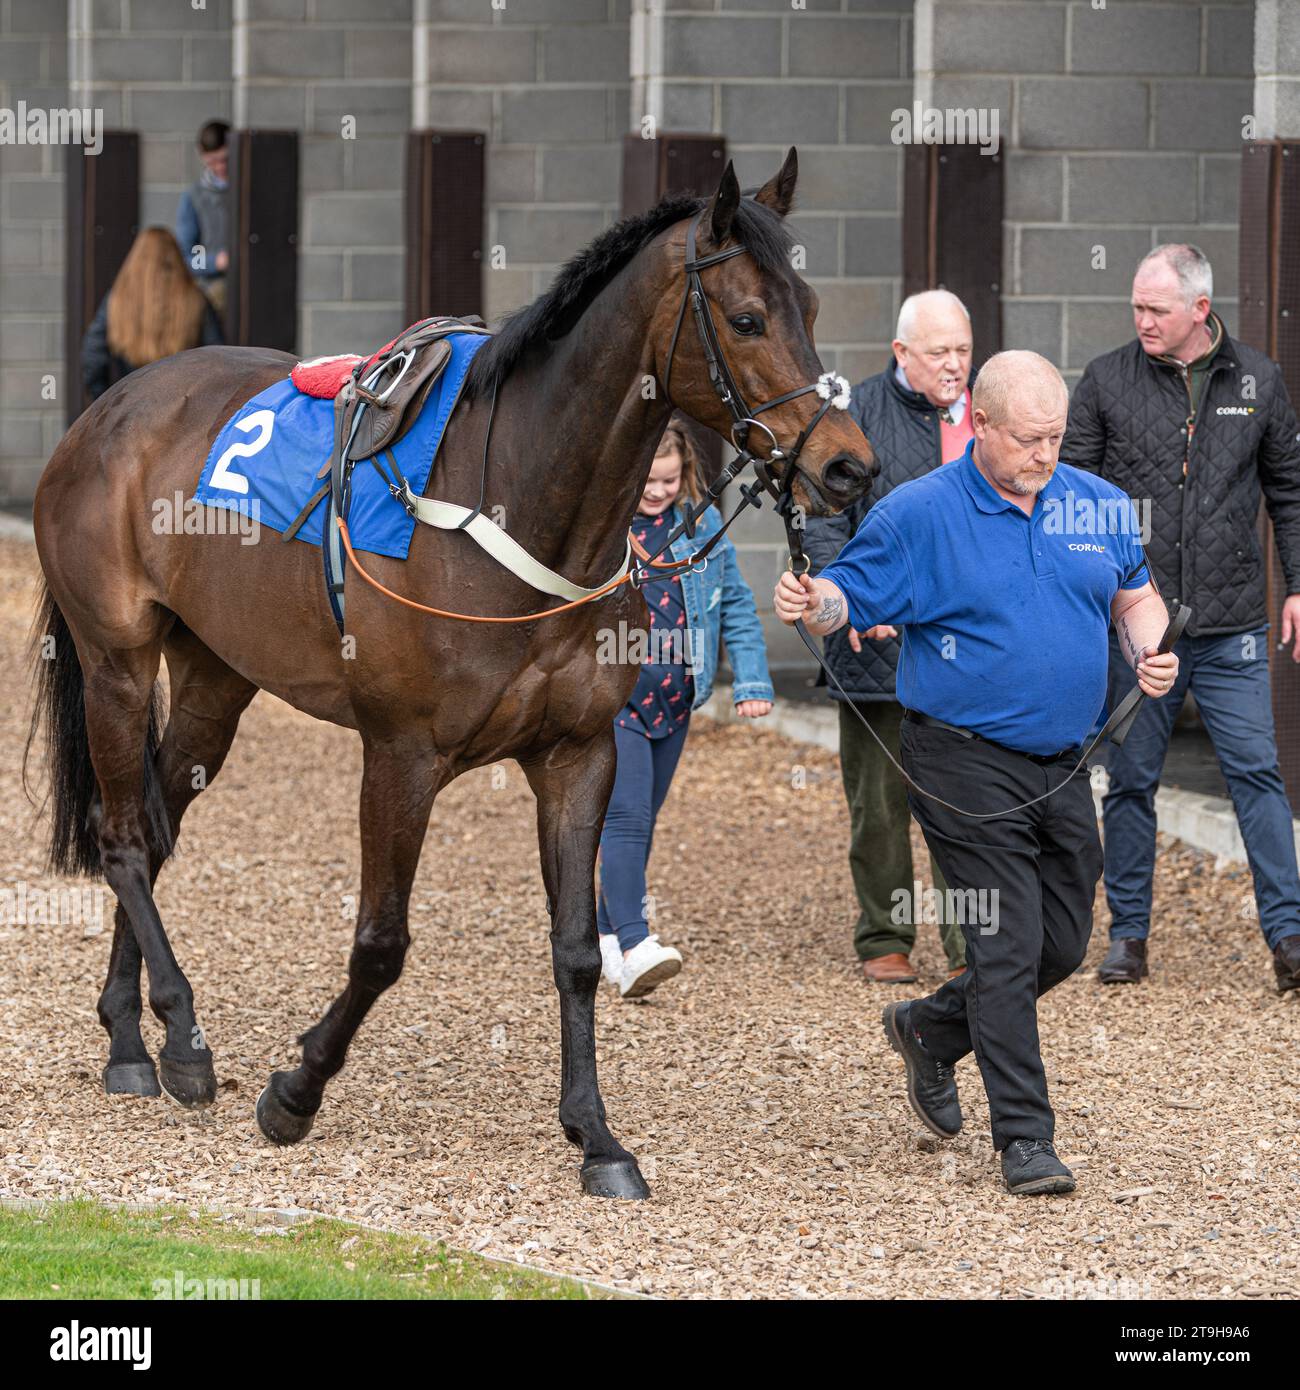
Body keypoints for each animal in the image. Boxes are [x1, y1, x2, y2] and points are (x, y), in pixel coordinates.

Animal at [22, 149, 873, 1195]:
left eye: (812, 306)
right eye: (749, 318)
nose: (847, 468)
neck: (512, 502)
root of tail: (108, 410)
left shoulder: (578, 754)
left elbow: (577, 951)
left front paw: (597, 1136)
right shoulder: (402, 755)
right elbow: (381, 945)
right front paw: (296, 1090)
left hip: (218, 677)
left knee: (155, 820)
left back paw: (127, 1038)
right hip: (116, 660)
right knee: (124, 840)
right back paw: (179, 1040)